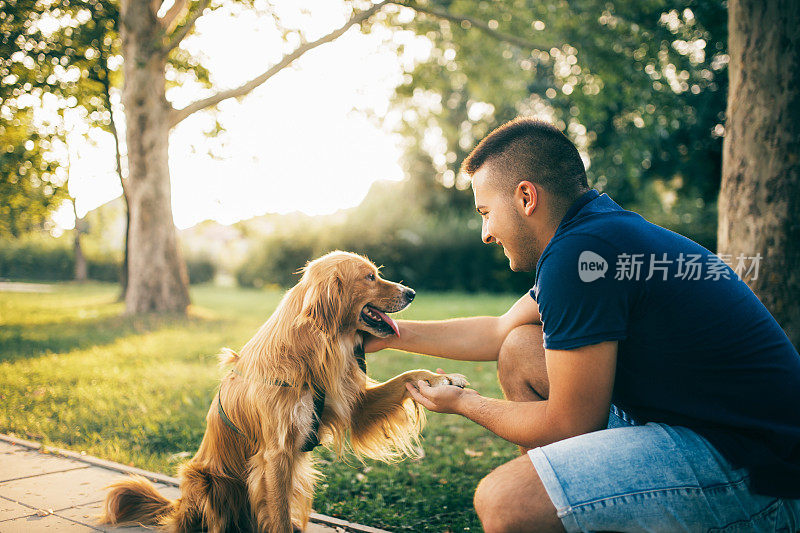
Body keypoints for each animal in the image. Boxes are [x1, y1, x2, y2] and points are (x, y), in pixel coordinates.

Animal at [98, 251, 468, 532]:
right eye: (369, 277)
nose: (412, 292)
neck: (310, 351)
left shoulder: (352, 406)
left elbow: (407, 376)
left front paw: (442, 381)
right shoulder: (275, 454)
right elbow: (276, 517)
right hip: (208, 481)